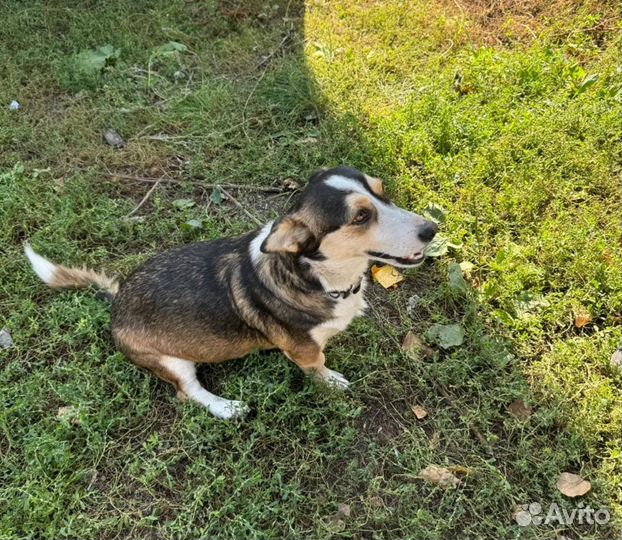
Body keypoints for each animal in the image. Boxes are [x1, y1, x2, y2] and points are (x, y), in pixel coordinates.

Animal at [25, 167, 438, 420]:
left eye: (383, 193)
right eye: (361, 217)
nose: (432, 229)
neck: (321, 276)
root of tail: (117, 301)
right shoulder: (303, 349)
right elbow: (317, 365)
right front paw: (332, 382)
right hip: (171, 362)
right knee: (188, 393)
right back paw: (227, 408)